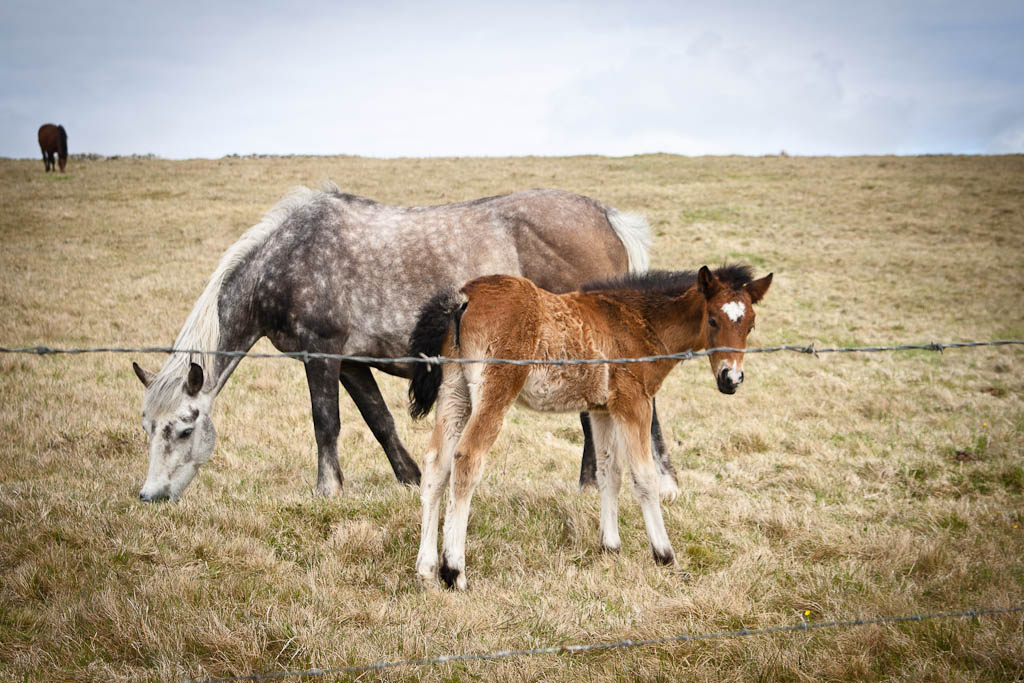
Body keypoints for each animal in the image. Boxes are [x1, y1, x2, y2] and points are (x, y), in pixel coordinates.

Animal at [131, 184, 683, 502]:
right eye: (148, 428)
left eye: (184, 429)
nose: (151, 495)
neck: (288, 259)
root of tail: (607, 217)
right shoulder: (351, 362)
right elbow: (379, 421)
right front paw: (413, 479)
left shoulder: (320, 356)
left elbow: (325, 423)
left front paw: (327, 492)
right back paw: (593, 486)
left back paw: (646, 483)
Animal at [409, 265, 772, 590]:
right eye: (713, 319)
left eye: (751, 325)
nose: (731, 379)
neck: (635, 322)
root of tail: (464, 295)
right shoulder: (634, 403)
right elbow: (645, 477)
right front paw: (664, 555)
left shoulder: (602, 410)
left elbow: (609, 472)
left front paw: (610, 547)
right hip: (495, 389)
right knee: (466, 460)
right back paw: (454, 572)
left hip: (454, 392)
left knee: (436, 466)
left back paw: (427, 571)